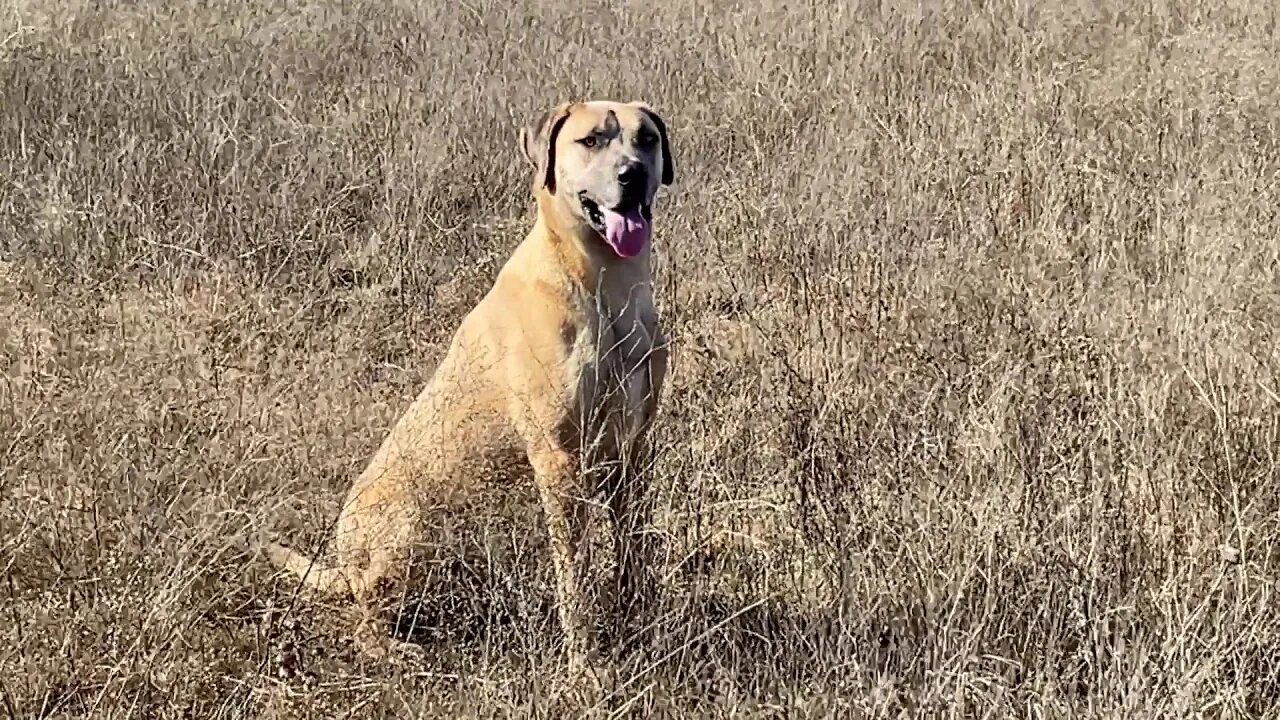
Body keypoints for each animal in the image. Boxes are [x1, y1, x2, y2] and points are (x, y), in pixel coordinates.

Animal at [266, 98, 675, 676]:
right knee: (364, 621)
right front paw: (586, 662)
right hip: (411, 526)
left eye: (646, 139)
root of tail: (343, 564)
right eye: (592, 140)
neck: (606, 286)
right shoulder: (558, 460)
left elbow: (633, 546)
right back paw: (398, 650)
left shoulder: (632, 447)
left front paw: (641, 617)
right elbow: (574, 575)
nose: (632, 174)